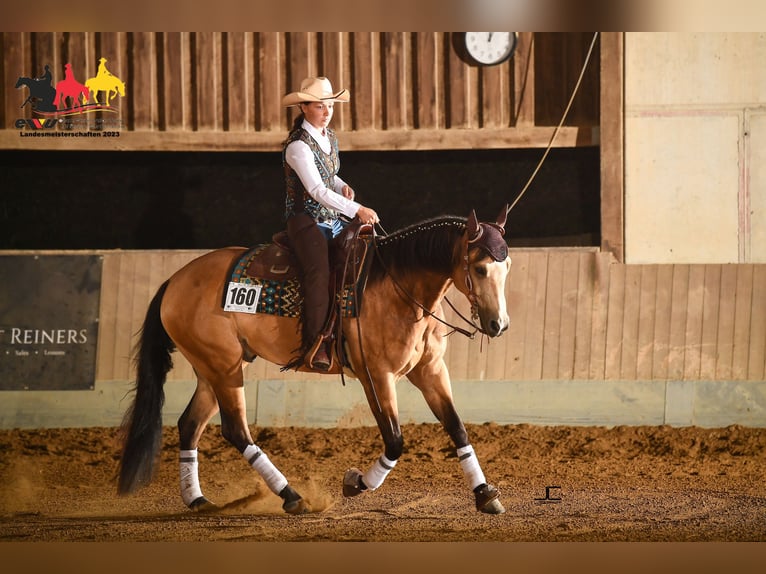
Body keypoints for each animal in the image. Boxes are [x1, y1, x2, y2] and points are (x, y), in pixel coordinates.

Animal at [118, 208, 516, 516]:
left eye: (507, 266)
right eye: (481, 269)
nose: (499, 325)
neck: (397, 287)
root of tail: (175, 280)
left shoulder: (430, 371)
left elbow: (457, 427)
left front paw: (485, 495)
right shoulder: (377, 376)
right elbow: (395, 441)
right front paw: (356, 482)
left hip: (213, 369)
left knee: (190, 425)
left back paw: (198, 499)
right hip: (223, 367)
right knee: (236, 430)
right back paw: (291, 496)